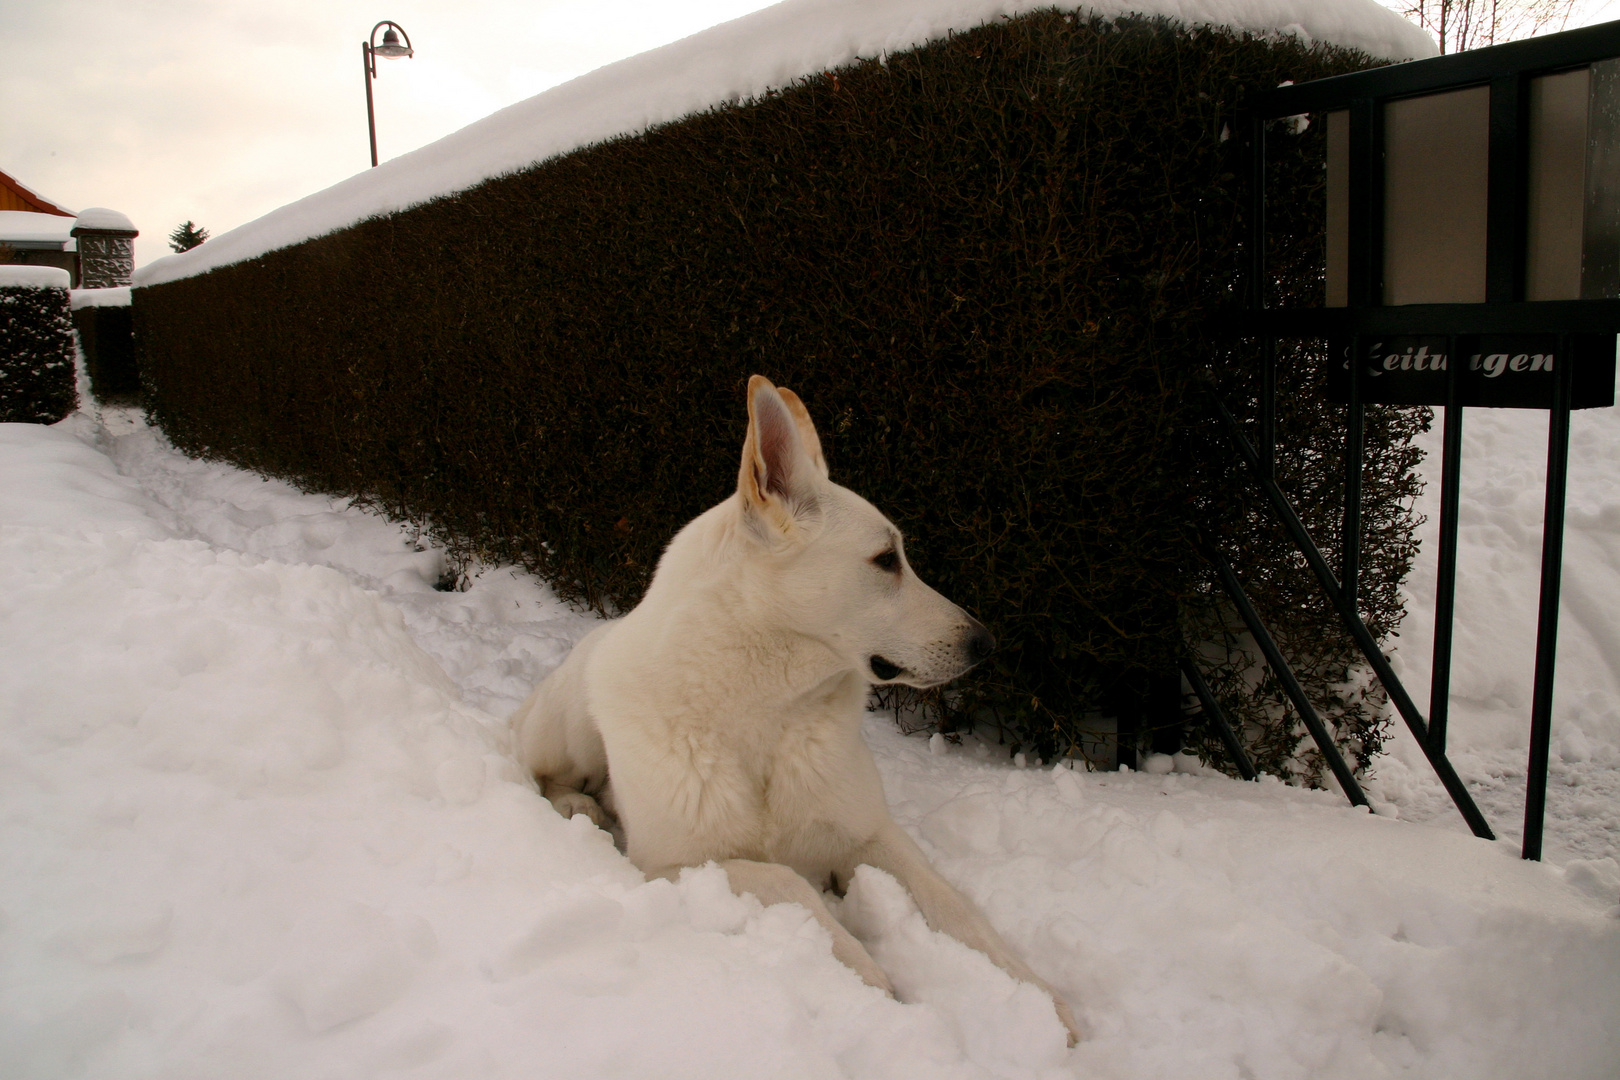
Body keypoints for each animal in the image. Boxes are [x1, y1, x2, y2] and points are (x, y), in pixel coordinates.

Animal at [511, 375, 1082, 1042]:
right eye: (886, 560)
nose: (986, 644)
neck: (764, 715)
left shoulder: (871, 834)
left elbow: (952, 904)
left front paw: (1036, 997)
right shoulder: (674, 866)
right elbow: (789, 882)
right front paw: (874, 984)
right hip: (570, 728)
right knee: (538, 772)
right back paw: (578, 804)